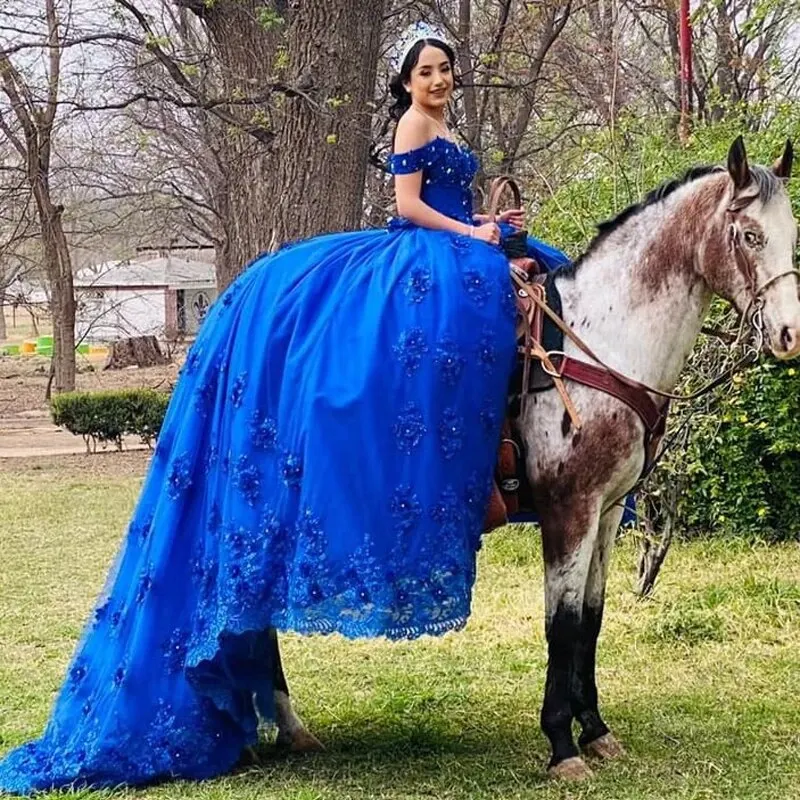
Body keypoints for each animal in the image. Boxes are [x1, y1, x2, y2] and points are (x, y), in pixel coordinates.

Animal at [255, 136, 792, 780]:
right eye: (749, 235)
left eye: (791, 232)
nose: (788, 333)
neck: (599, 344)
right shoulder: (569, 509)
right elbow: (561, 624)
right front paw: (562, 744)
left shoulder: (607, 511)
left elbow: (590, 620)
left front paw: (596, 730)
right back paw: (285, 724)